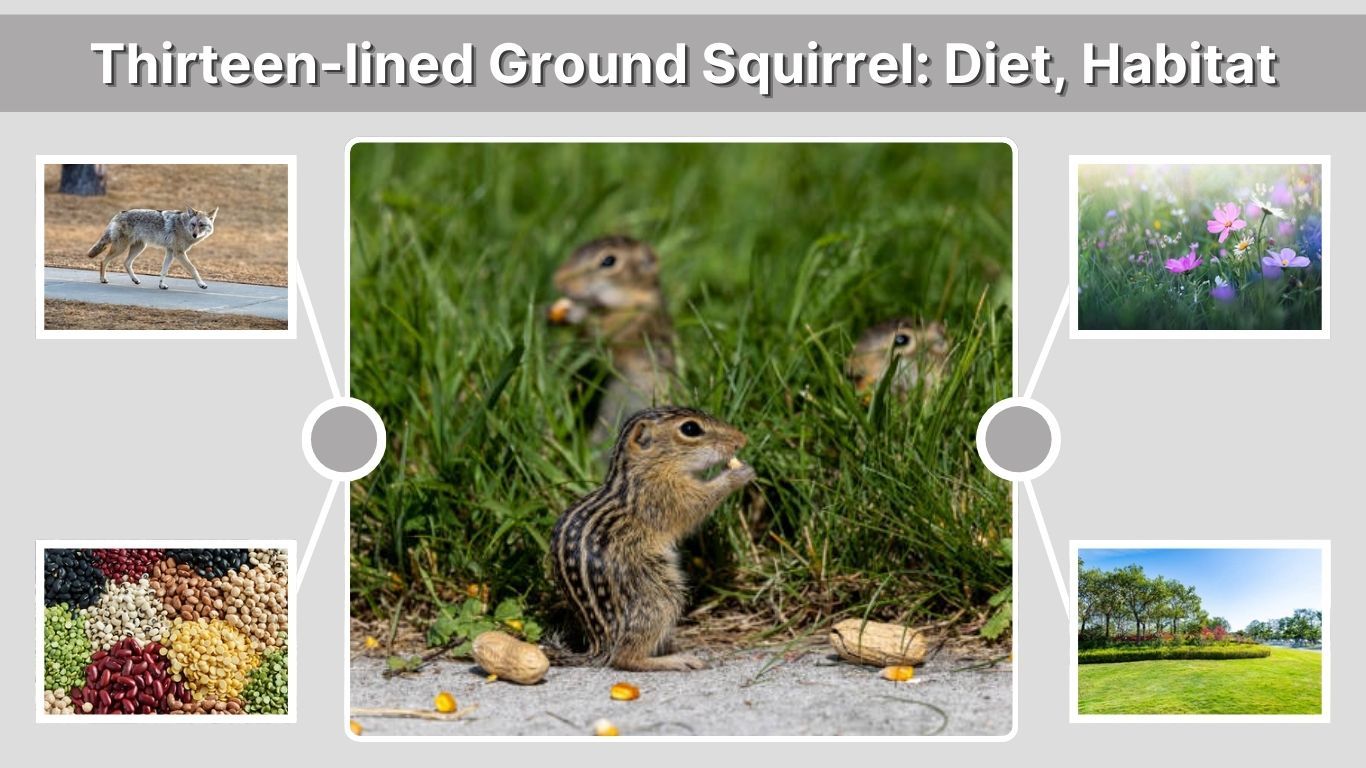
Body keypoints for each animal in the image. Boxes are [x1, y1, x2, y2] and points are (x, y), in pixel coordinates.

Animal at [549, 406, 755, 671]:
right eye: (690, 428)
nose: (742, 440)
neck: (645, 470)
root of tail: (600, 643)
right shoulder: (663, 496)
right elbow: (696, 503)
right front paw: (737, 475)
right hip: (658, 596)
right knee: (624, 657)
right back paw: (674, 660)